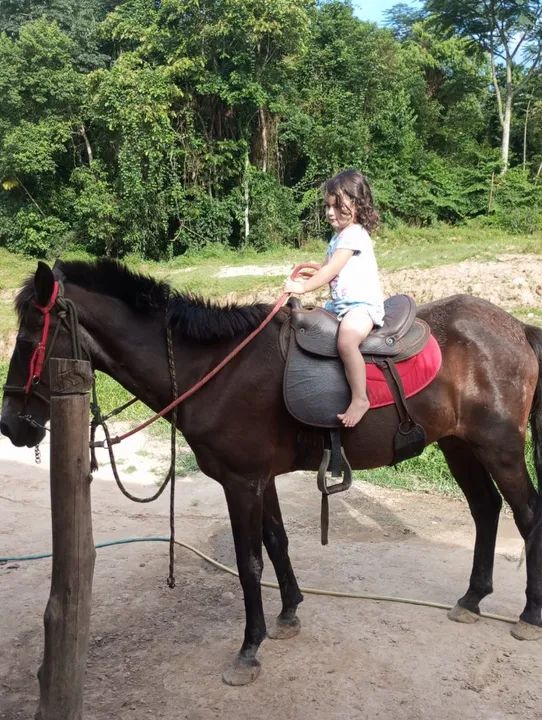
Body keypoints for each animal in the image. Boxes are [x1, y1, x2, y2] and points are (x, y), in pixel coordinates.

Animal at [2, 259, 542, 686]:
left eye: (27, 340)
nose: (11, 425)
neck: (214, 370)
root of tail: (516, 327)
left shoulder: (241, 484)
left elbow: (249, 563)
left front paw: (249, 649)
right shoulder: (262, 479)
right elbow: (278, 542)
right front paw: (289, 612)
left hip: (499, 446)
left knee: (527, 515)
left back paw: (529, 613)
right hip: (459, 445)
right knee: (486, 509)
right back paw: (472, 598)